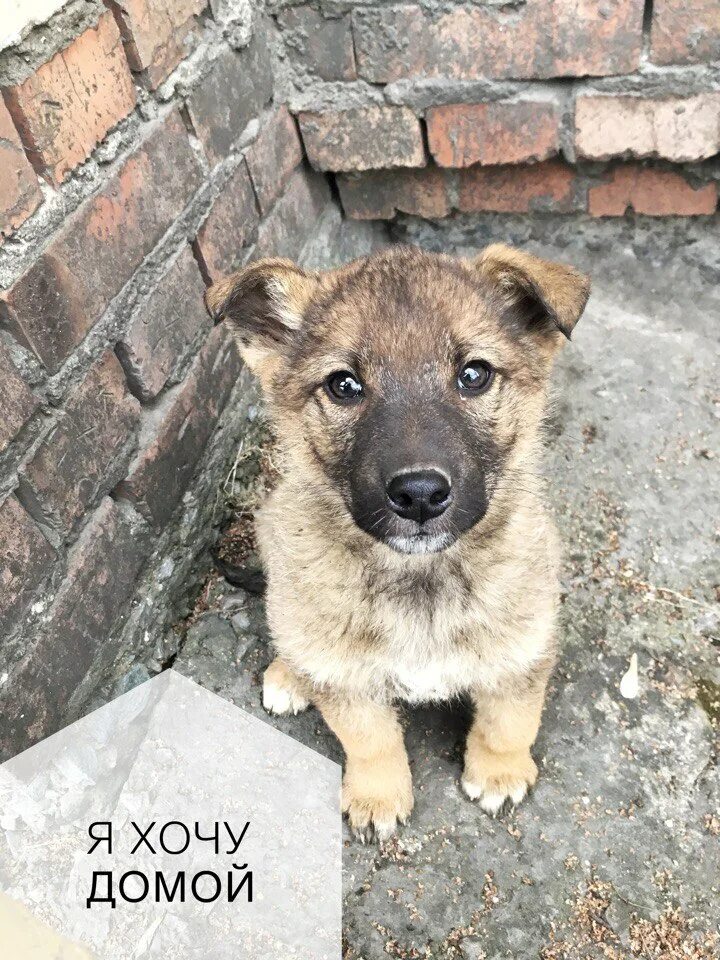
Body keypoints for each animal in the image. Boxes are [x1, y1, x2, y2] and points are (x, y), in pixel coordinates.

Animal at [205, 246, 588, 840]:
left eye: (474, 375)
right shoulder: (349, 681)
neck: (421, 581)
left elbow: (509, 720)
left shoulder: (524, 645)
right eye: (343, 385)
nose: (420, 494)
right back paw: (291, 675)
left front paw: (498, 772)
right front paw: (377, 796)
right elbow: (370, 739)